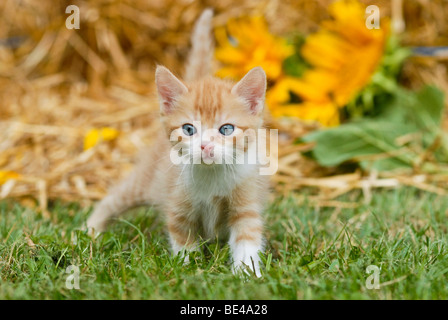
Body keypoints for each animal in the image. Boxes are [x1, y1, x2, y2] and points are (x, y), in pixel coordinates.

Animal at [87, 8, 270, 276]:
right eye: (189, 129)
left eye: (226, 129)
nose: (205, 146)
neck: (212, 176)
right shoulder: (177, 206)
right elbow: (183, 240)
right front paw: (186, 271)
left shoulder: (246, 203)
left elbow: (247, 237)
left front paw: (248, 274)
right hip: (145, 182)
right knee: (113, 198)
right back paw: (88, 232)